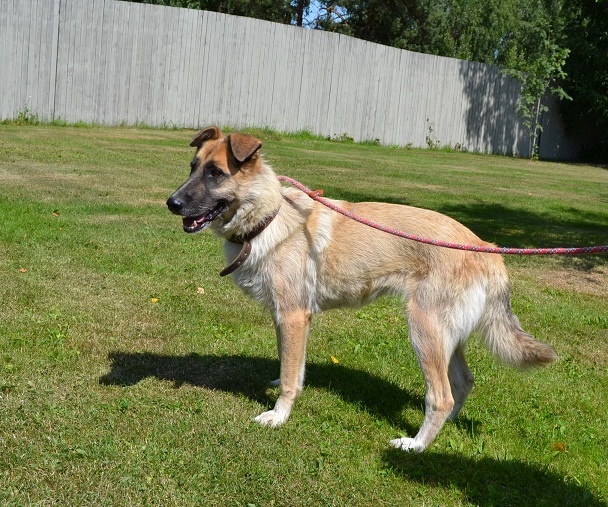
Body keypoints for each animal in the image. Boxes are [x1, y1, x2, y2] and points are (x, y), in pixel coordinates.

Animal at [166, 127, 557, 453]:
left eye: (216, 173)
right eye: (192, 167)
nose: (171, 203)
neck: (269, 217)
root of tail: (486, 248)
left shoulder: (292, 316)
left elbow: (291, 376)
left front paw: (278, 416)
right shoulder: (288, 321)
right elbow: (292, 367)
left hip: (424, 332)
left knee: (441, 397)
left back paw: (416, 445)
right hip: (448, 337)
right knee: (463, 384)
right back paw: (446, 429)